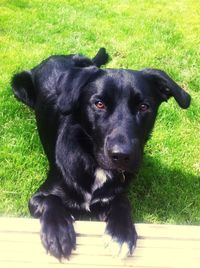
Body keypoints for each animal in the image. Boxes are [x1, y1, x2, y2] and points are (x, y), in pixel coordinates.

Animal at [11, 47, 191, 260]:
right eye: (99, 104)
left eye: (144, 107)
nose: (121, 156)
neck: (95, 164)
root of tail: (54, 57)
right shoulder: (38, 196)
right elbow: (51, 200)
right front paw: (57, 232)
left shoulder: (114, 195)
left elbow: (122, 202)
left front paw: (121, 234)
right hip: (18, 83)